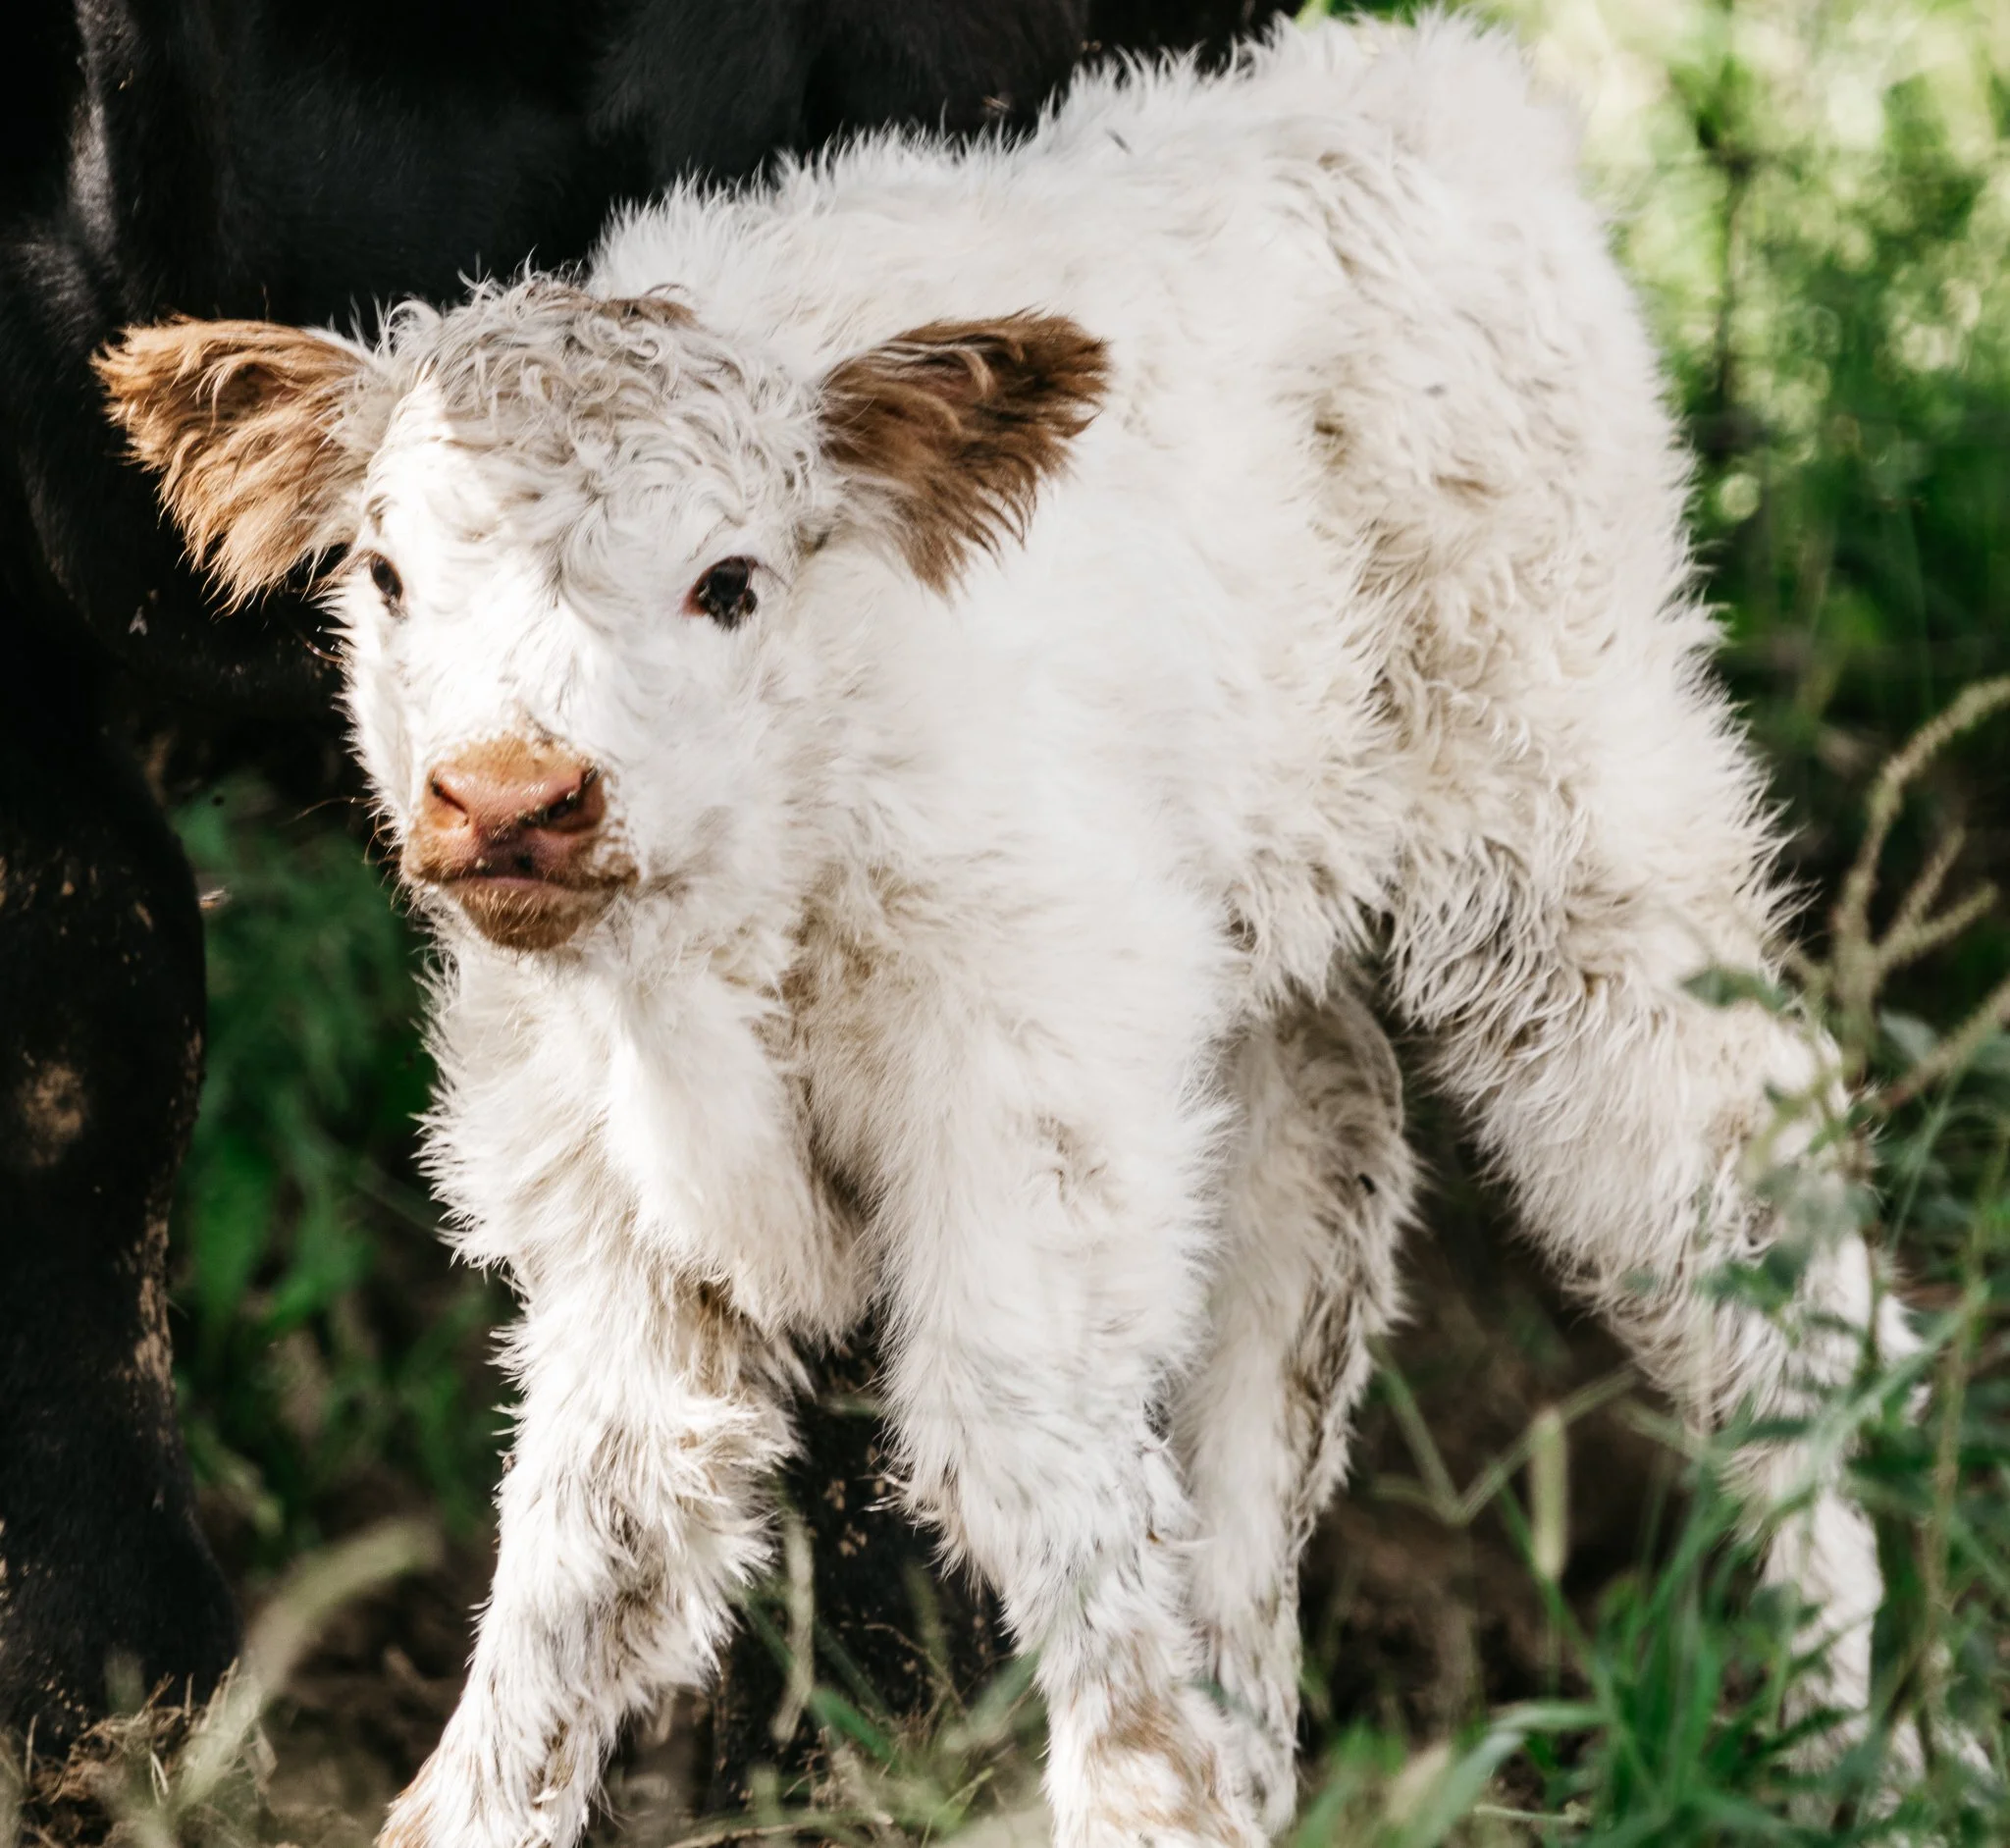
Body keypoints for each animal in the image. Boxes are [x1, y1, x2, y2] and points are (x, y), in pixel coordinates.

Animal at [99, 16, 1909, 1845]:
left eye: (729, 581)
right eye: (386, 576)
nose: (511, 794)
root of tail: (1412, 84)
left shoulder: (1022, 1102)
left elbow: (1020, 1442)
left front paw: (1141, 1792)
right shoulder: (609, 1197)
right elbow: (594, 1542)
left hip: (1578, 858)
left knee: (1761, 1268)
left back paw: (1863, 1750)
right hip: (1258, 945)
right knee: (1312, 1203)